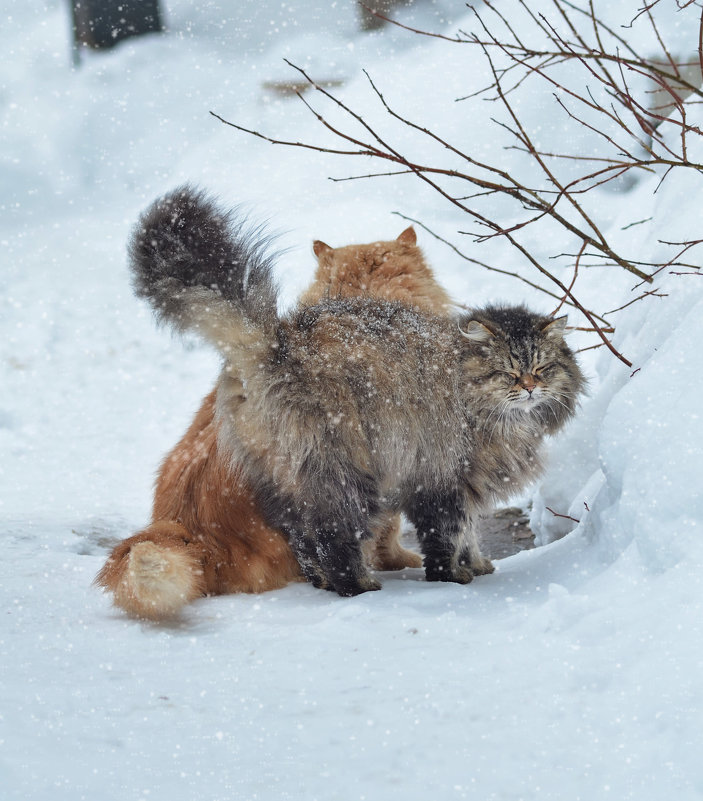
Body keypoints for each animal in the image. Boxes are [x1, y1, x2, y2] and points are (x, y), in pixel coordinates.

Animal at [96, 225, 454, 620]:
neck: (365, 294)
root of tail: (189, 533)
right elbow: (390, 532)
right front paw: (403, 560)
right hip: (340, 478)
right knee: (334, 544)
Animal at [129, 186, 584, 592]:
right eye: (507, 373)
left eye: (542, 368)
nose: (530, 387)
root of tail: (276, 344)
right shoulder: (442, 475)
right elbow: (446, 535)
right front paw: (453, 576)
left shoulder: (466, 482)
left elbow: (467, 532)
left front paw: (476, 564)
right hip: (345, 473)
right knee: (334, 538)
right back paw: (357, 586)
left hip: (283, 479)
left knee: (304, 539)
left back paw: (324, 583)